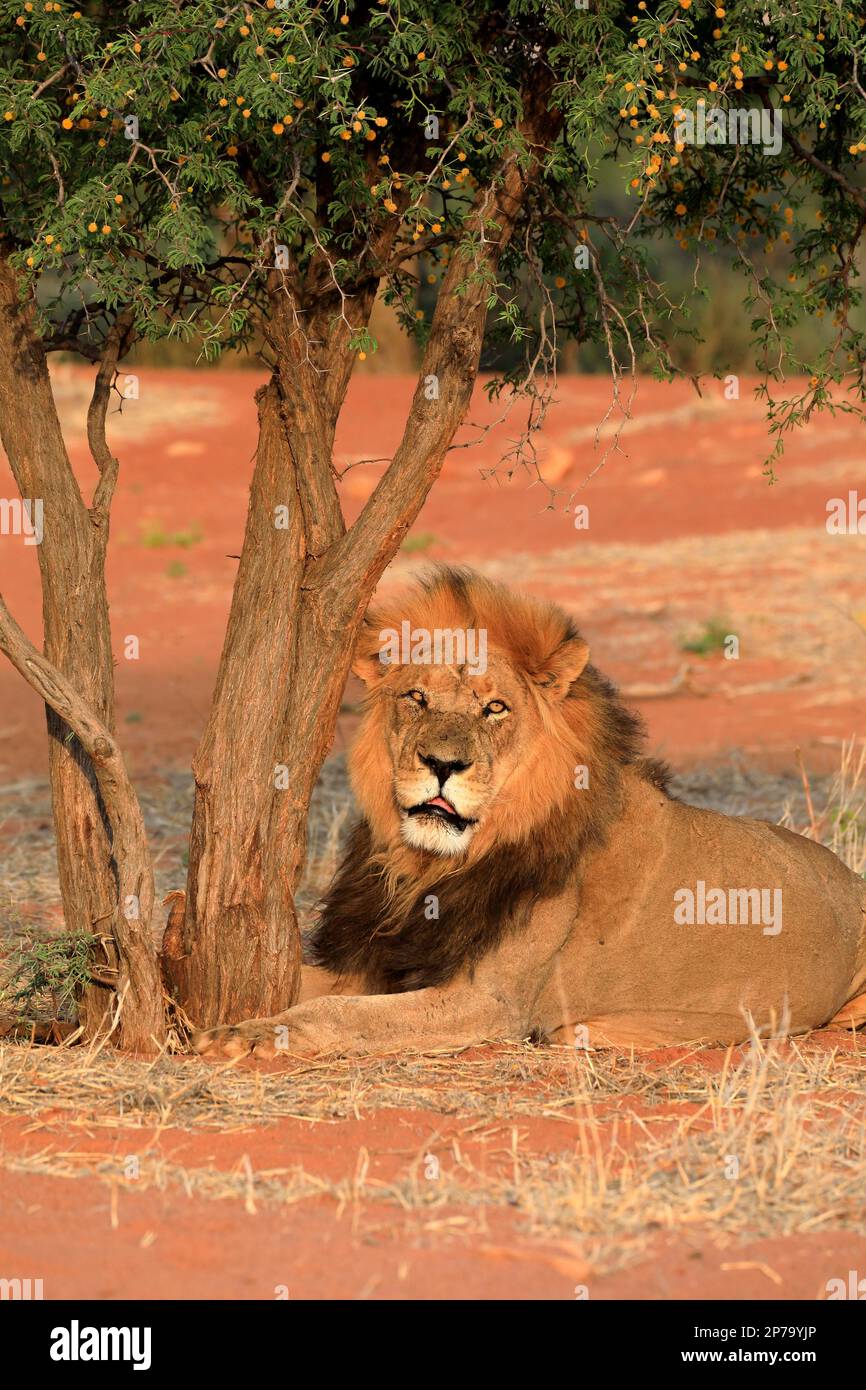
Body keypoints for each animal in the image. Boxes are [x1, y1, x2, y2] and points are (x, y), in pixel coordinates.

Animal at [194, 567, 866, 1059]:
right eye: (416, 696)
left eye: (494, 708)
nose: (442, 764)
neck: (430, 867)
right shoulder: (379, 961)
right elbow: (301, 986)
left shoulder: (490, 1002)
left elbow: (338, 1014)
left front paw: (246, 1036)